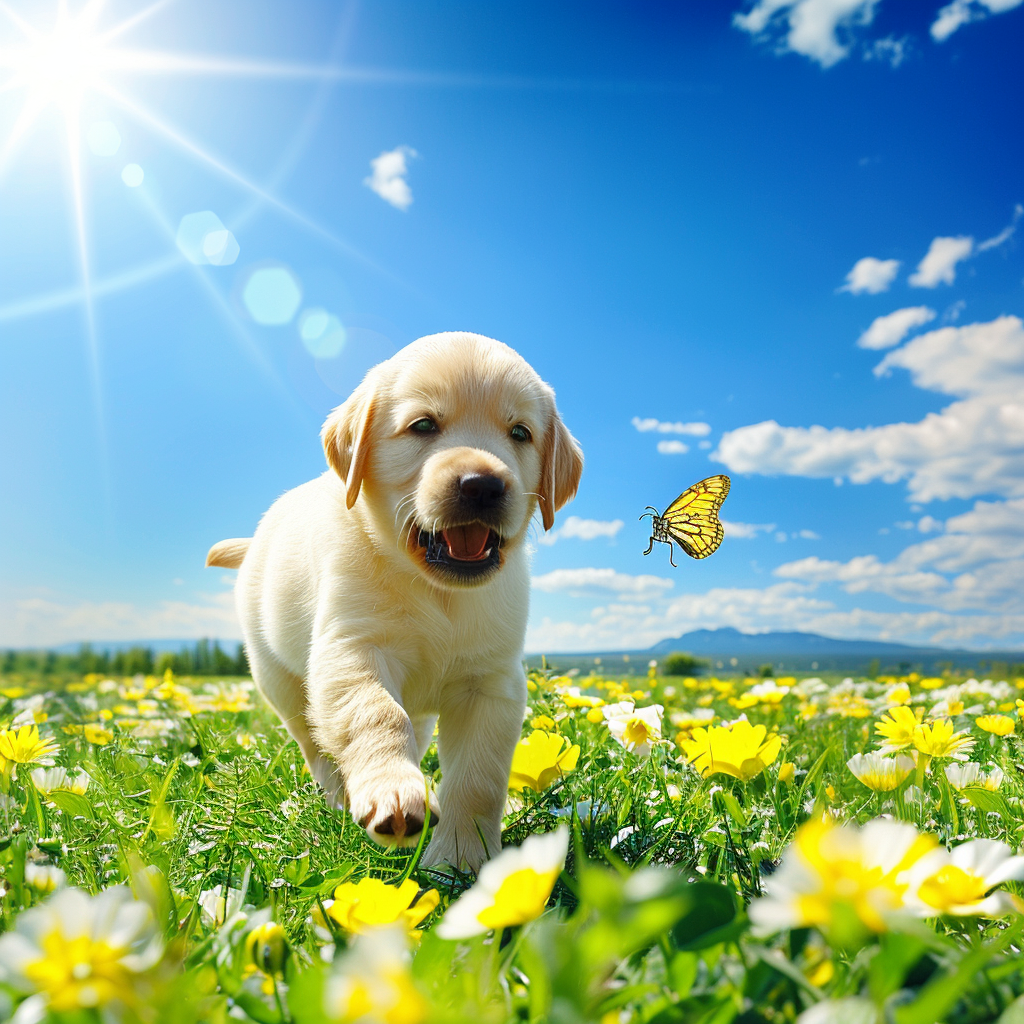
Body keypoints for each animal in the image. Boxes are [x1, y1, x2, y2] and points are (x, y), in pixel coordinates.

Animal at [205, 331, 585, 868]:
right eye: (423, 425)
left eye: (520, 433)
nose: (483, 486)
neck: (437, 590)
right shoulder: (351, 648)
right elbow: (375, 713)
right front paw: (394, 792)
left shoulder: (491, 683)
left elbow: (479, 777)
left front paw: (461, 858)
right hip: (279, 679)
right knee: (316, 745)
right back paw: (340, 798)